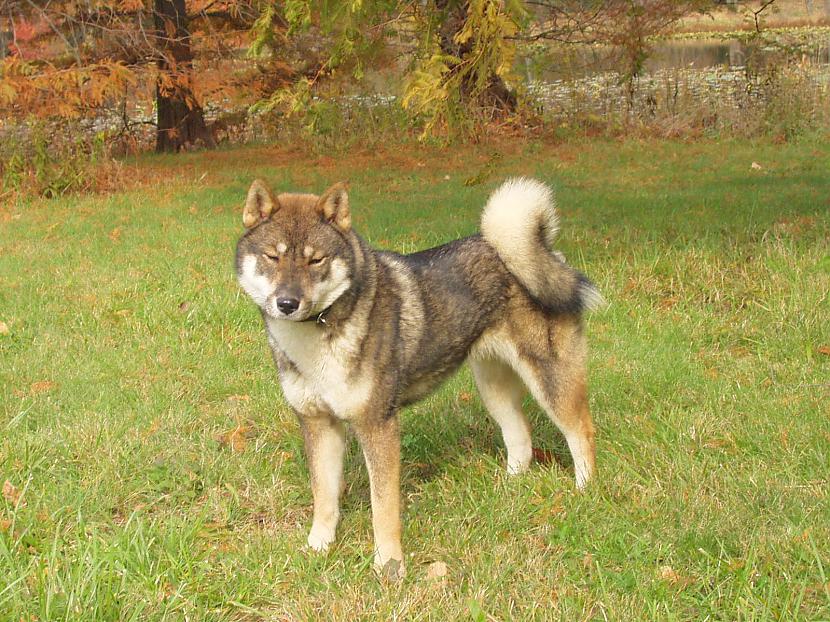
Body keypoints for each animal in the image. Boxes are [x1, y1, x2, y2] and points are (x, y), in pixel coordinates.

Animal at [234, 178, 604, 584]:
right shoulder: (319, 424)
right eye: (272, 256)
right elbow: (325, 496)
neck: (319, 334)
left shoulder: (378, 426)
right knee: (519, 436)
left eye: (316, 260)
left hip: (550, 381)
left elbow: (383, 509)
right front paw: (317, 547)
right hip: (492, 387)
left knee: (581, 432)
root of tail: (545, 252)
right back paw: (510, 488)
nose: (287, 303)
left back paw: (585, 490)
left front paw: (389, 565)